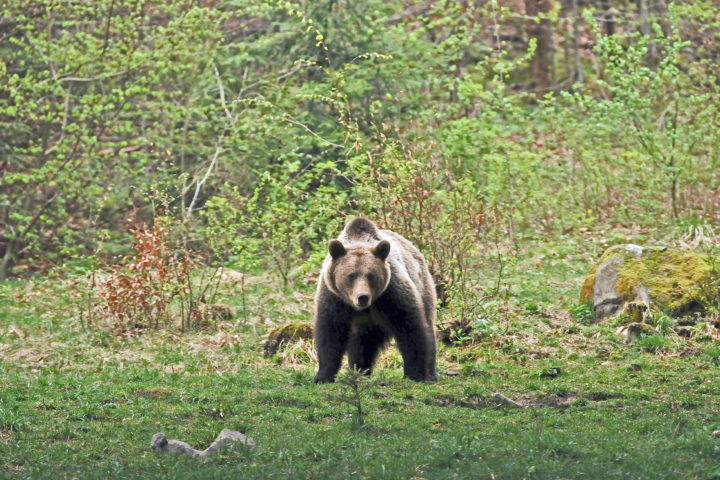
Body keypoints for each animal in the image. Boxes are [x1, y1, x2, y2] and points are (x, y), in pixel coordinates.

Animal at [312, 218, 436, 382]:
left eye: (371, 275)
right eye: (351, 275)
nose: (362, 296)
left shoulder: (392, 293)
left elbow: (410, 329)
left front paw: (415, 374)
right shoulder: (334, 298)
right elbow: (330, 333)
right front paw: (323, 376)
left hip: (423, 286)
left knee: (428, 325)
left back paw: (431, 373)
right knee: (362, 344)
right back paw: (360, 369)